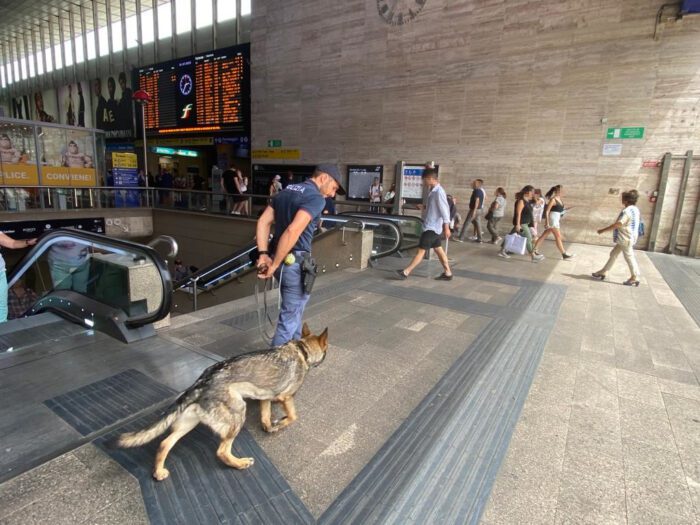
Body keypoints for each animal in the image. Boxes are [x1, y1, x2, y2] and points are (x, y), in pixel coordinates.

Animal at [116, 322, 330, 482]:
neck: (302, 350)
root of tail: (202, 382)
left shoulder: (266, 398)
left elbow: (265, 417)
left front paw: (270, 427)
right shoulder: (285, 397)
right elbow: (293, 416)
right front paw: (281, 423)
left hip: (189, 423)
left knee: (164, 443)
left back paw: (159, 472)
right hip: (238, 414)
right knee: (221, 452)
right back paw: (240, 463)